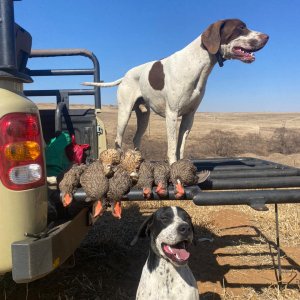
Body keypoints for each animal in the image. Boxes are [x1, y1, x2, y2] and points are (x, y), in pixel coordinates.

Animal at [83, 18, 268, 164]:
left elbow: (181, 147)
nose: (267, 37)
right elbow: (172, 147)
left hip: (144, 116)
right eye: (240, 27)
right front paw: (173, 167)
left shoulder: (189, 117)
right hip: (124, 113)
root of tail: (125, 76)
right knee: (118, 139)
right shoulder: (172, 115)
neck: (196, 63)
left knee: (136, 138)